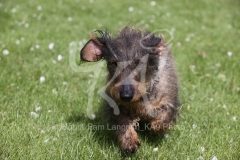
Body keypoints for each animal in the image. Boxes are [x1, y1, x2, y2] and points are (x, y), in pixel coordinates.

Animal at [80, 25, 180, 153]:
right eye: (114, 63)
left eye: (139, 63)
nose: (126, 96)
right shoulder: (116, 106)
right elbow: (123, 123)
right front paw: (129, 142)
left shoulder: (168, 100)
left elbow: (165, 115)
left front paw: (156, 128)